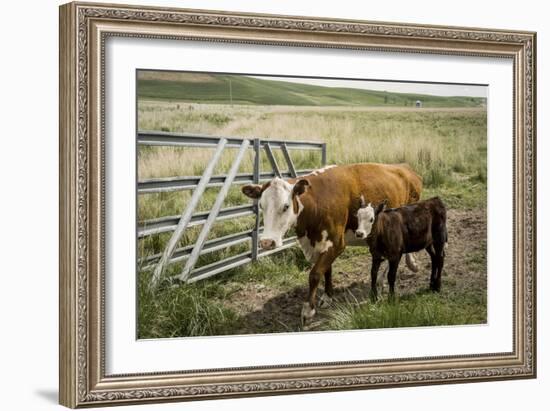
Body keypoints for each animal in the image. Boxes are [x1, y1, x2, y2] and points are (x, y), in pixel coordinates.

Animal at [242, 163, 422, 324]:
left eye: (286, 206)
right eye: (261, 205)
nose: (267, 242)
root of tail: (404, 167)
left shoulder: (337, 243)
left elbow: (315, 274)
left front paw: (308, 310)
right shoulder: (321, 244)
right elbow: (326, 271)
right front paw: (328, 296)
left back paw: (403, 269)